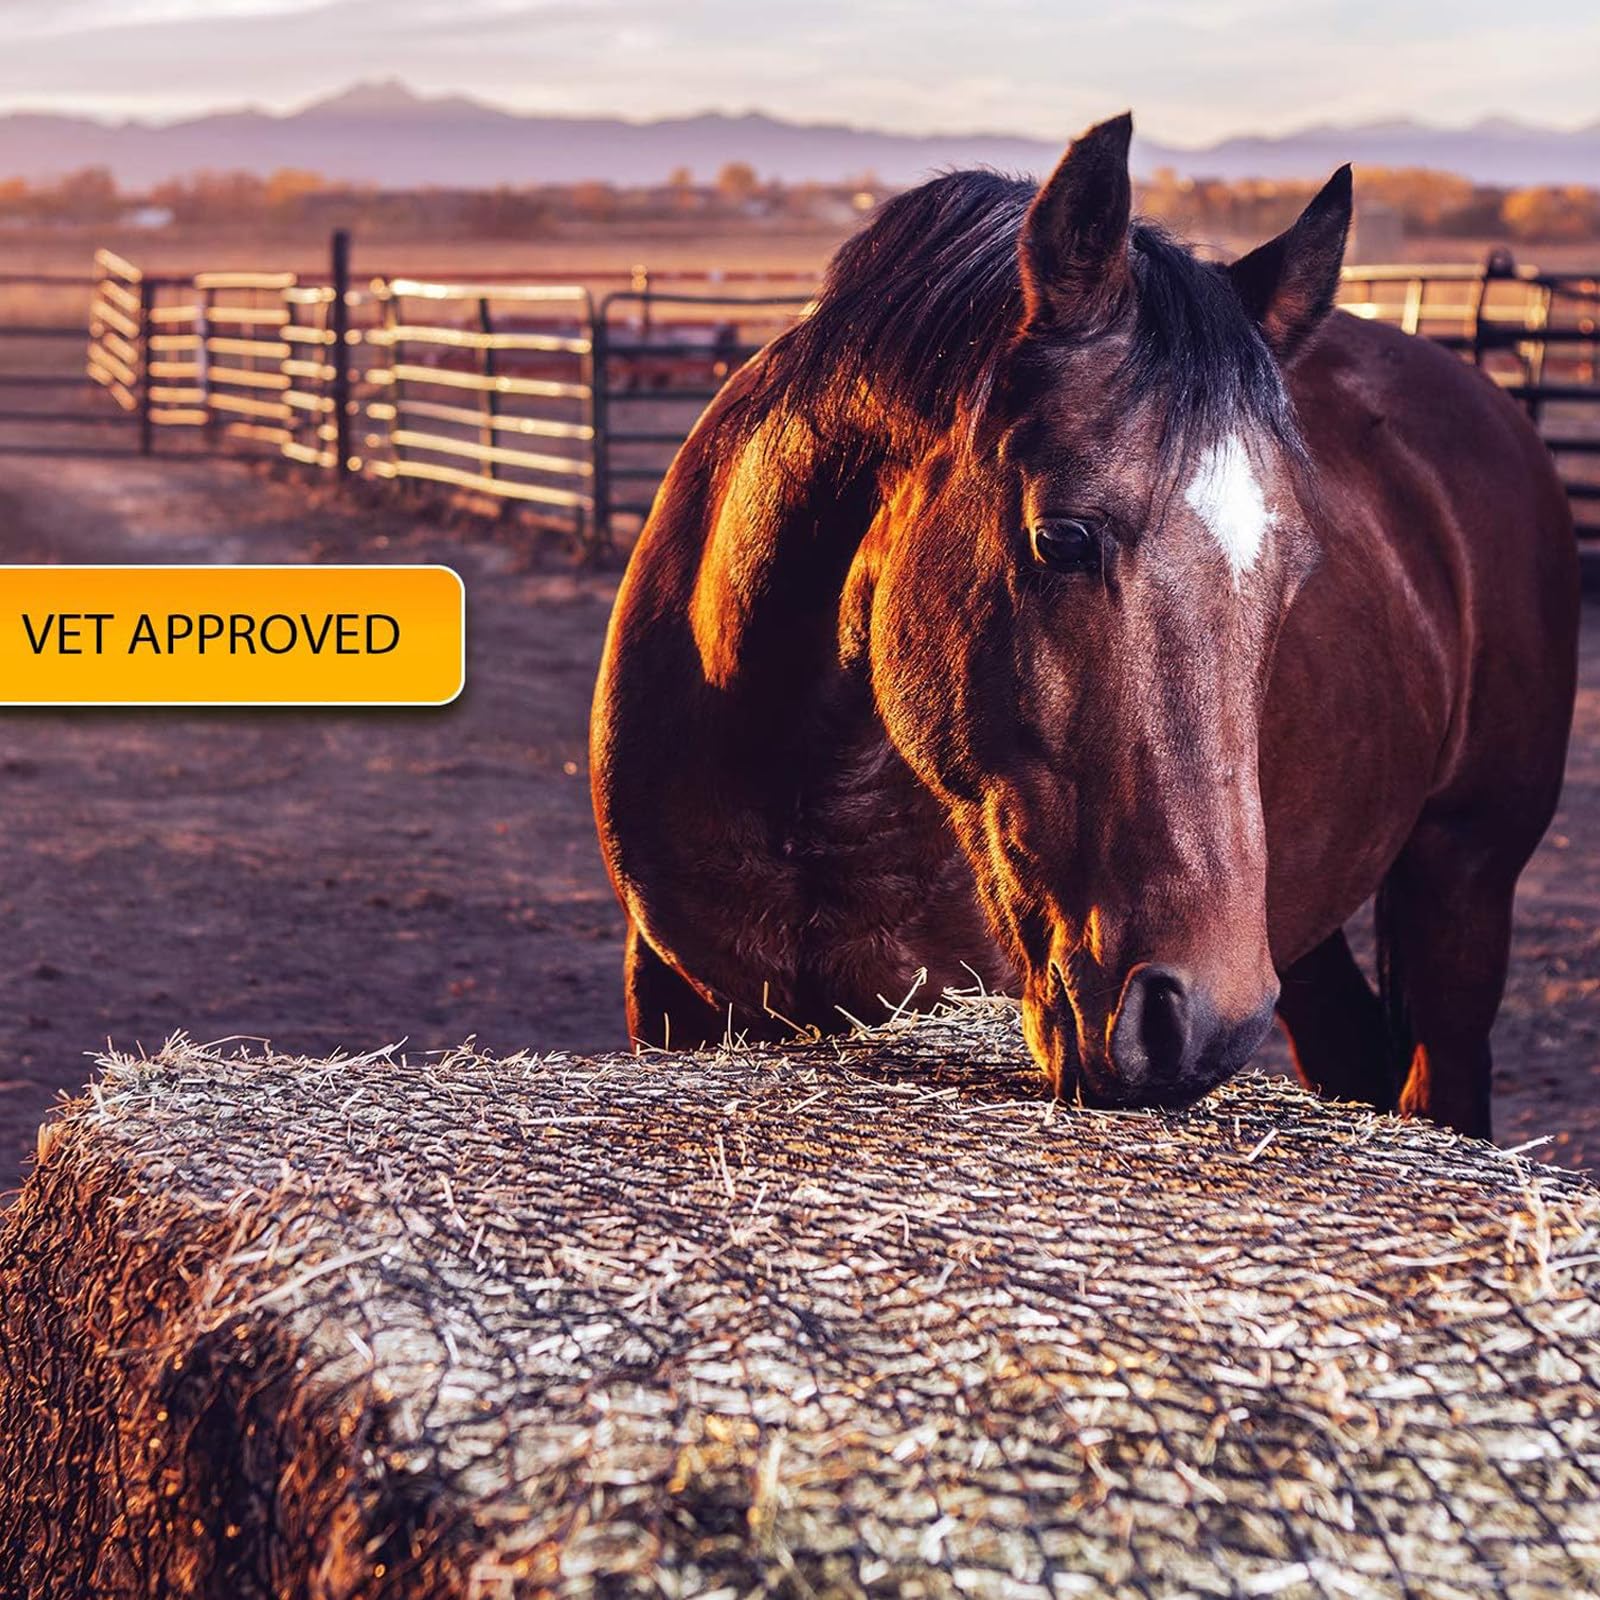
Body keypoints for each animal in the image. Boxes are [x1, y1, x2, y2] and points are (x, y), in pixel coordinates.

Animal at [590, 114, 1578, 1139]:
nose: (1197, 1022)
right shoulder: (673, 999)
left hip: (1462, 876)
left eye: (1297, 571)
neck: (806, 795)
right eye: (1062, 538)